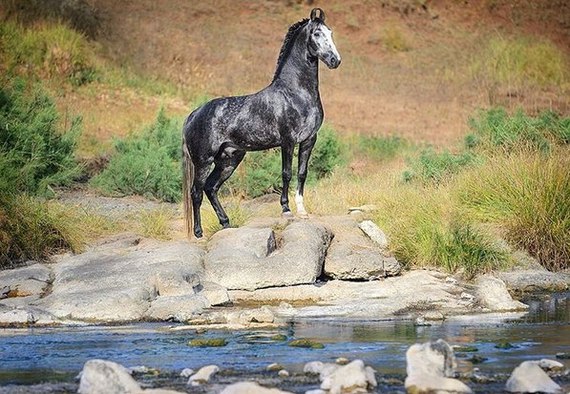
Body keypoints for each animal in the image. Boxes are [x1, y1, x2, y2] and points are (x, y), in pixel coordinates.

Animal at [184, 8, 340, 237]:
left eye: (330, 32)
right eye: (317, 33)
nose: (335, 60)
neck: (296, 93)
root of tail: (193, 115)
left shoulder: (309, 140)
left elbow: (302, 173)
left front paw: (302, 211)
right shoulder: (287, 141)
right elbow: (286, 173)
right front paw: (286, 210)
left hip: (229, 160)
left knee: (211, 188)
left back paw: (226, 223)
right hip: (203, 161)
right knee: (196, 192)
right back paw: (198, 232)